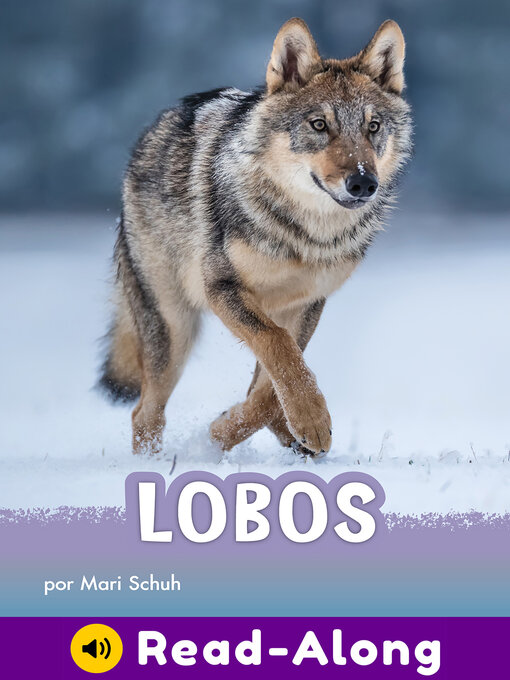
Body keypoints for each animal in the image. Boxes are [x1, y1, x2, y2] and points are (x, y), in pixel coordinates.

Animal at [99, 18, 412, 456]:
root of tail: (152, 131)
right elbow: (279, 350)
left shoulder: (306, 304)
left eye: (373, 127)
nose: (364, 183)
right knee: (144, 413)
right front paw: (301, 422)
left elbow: (272, 384)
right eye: (319, 125)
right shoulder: (222, 289)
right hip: (175, 328)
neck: (305, 235)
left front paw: (233, 428)